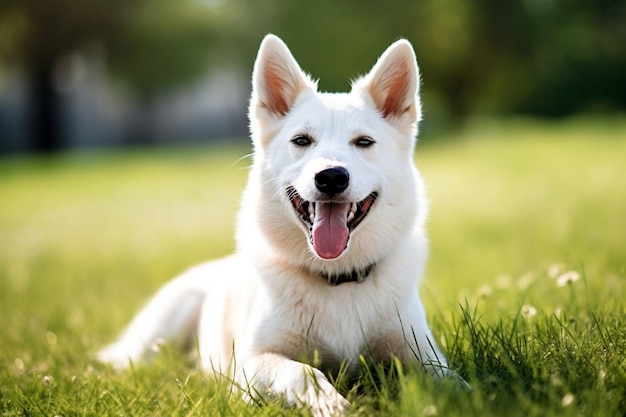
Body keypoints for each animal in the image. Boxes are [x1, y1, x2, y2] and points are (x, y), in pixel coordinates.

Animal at [98, 34, 458, 414]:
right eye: (301, 141)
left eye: (364, 142)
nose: (331, 177)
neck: (336, 277)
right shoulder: (252, 363)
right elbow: (304, 372)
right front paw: (331, 403)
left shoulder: (423, 355)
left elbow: (452, 381)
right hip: (158, 335)